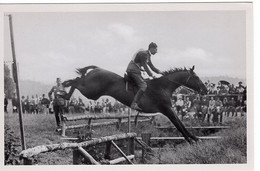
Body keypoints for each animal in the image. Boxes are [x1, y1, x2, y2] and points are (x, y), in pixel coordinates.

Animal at [61, 65, 207, 144]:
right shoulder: (167, 110)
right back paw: (63, 90)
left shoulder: (170, 109)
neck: (163, 87)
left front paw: (194, 137)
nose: (205, 90)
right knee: (76, 81)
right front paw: (190, 139)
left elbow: (180, 123)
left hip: (92, 92)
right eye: (196, 77)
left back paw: (64, 92)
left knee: (78, 80)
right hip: (91, 92)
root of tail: (97, 69)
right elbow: (178, 125)